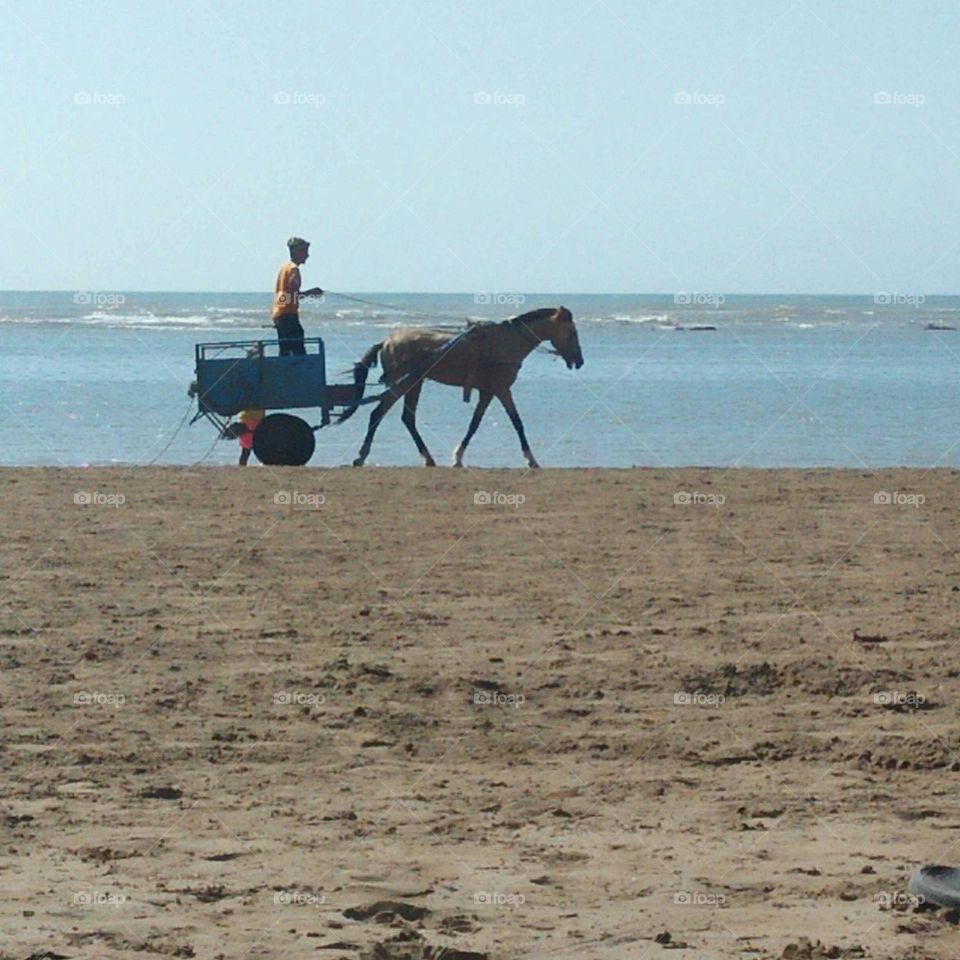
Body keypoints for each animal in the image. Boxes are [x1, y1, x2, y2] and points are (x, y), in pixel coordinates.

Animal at [342, 308, 588, 468]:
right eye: (572, 333)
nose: (579, 361)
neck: (508, 342)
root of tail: (386, 341)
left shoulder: (488, 392)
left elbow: (474, 424)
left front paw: (458, 456)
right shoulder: (501, 389)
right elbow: (517, 423)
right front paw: (531, 459)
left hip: (414, 383)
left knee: (407, 419)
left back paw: (428, 458)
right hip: (402, 383)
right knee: (378, 413)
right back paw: (361, 456)